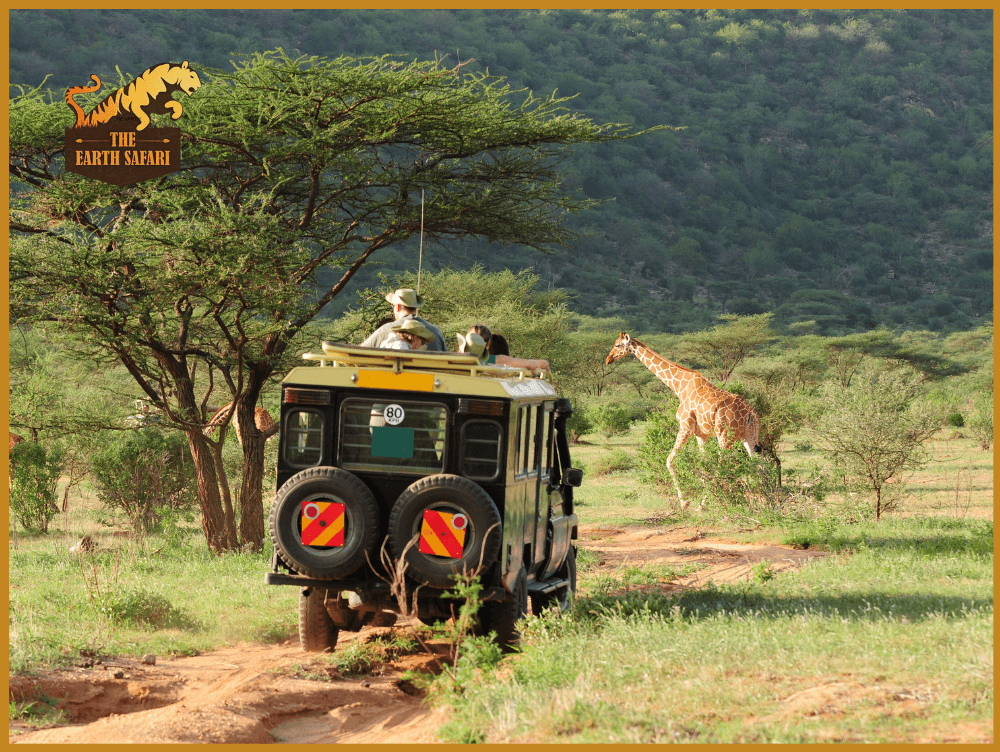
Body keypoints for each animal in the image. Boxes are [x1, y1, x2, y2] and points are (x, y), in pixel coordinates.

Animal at [604, 332, 760, 508]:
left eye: (617, 345)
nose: (608, 359)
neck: (678, 386)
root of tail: (750, 414)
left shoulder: (686, 428)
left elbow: (669, 461)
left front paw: (685, 502)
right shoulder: (701, 434)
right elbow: (704, 465)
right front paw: (706, 502)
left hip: (725, 435)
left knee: (724, 464)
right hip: (749, 436)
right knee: (759, 465)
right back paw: (763, 501)